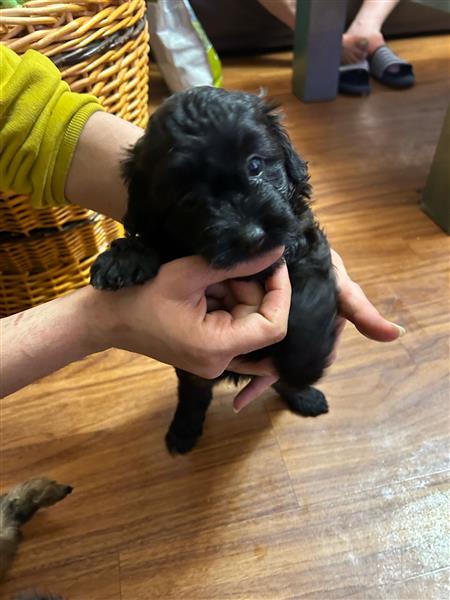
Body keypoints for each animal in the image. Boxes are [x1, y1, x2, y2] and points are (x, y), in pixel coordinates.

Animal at [91, 86, 338, 452]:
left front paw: (303, 366)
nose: (251, 235)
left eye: (255, 165)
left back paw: (302, 394)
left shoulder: (305, 244)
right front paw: (124, 258)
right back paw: (183, 431)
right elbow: (149, 239)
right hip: (194, 370)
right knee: (194, 392)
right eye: (187, 198)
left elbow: (308, 302)